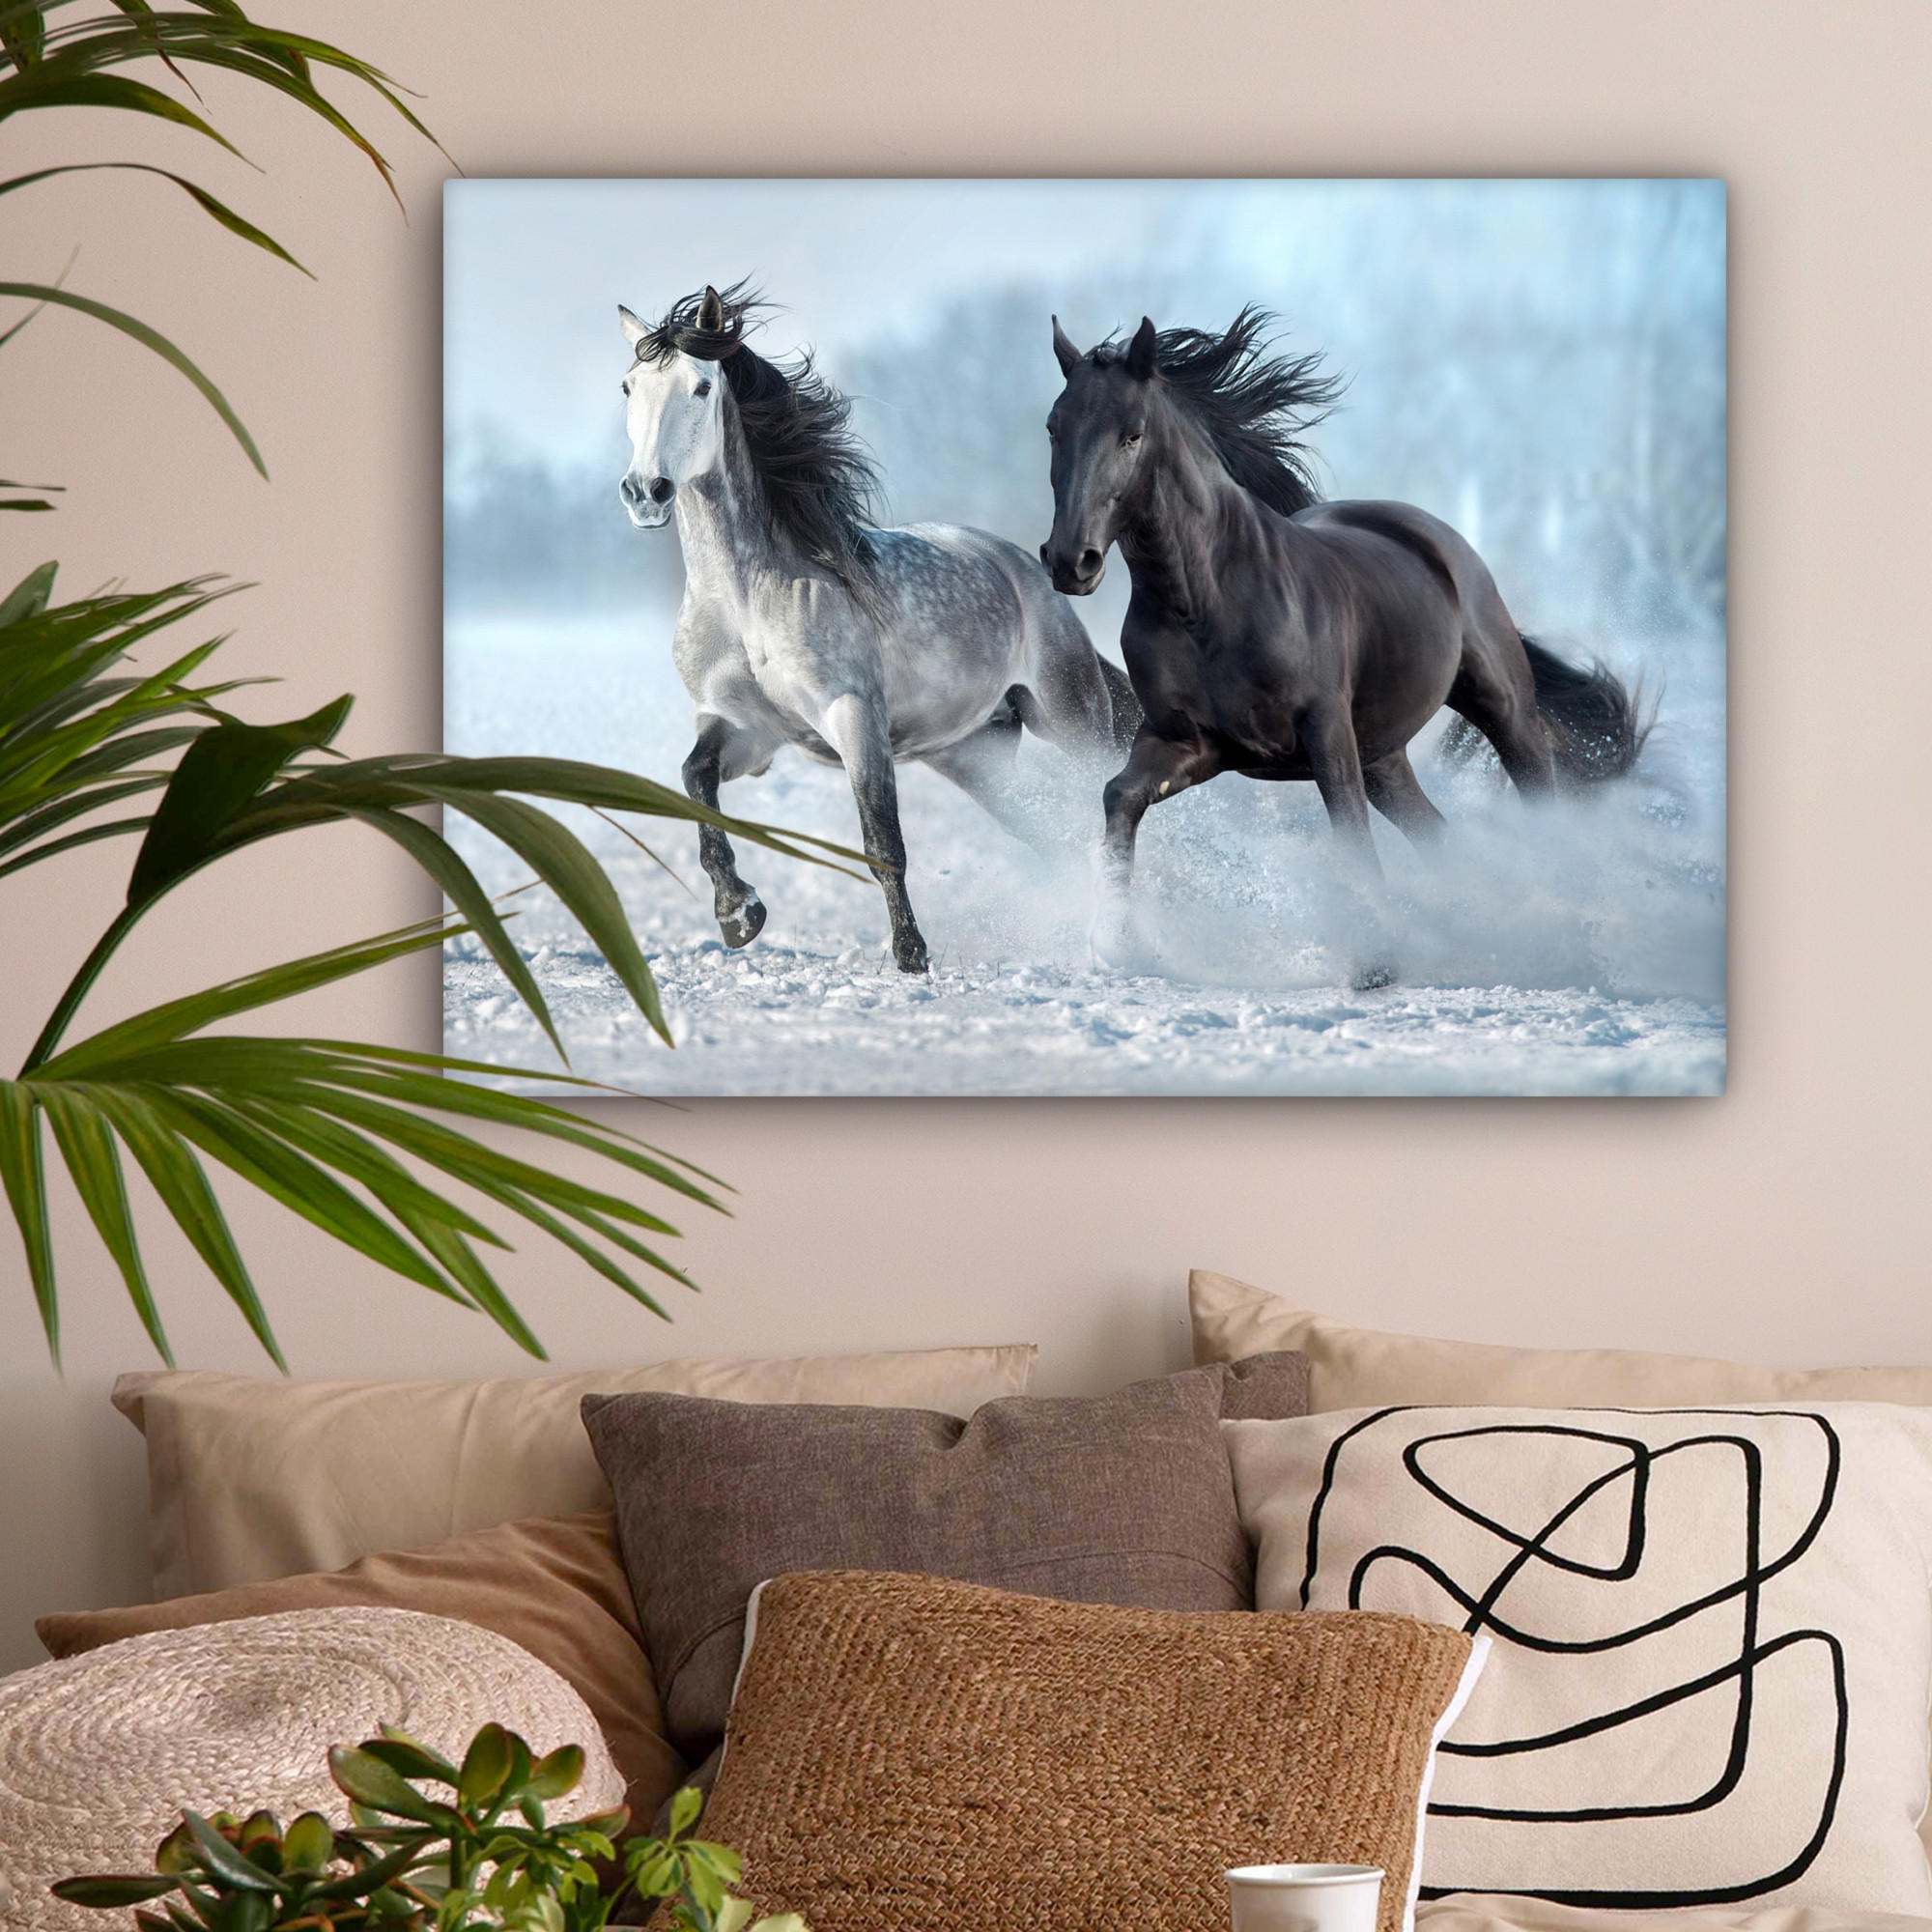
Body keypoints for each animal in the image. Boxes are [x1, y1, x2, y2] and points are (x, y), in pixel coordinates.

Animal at [616, 282, 1138, 974]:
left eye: (700, 386)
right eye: (629, 386)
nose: (645, 492)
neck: (745, 599)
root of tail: (1023, 566)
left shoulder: (854, 716)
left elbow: (882, 841)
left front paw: (911, 955)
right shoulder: (744, 728)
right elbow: (693, 782)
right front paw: (739, 914)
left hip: (1072, 720)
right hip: (974, 757)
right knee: (1052, 833)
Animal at [1039, 307, 1648, 976]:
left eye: (1133, 434)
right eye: (1054, 428)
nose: (1071, 561)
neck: (1208, 603)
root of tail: (1435, 537)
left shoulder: (1325, 732)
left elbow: (1350, 835)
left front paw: (1376, 964)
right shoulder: (1188, 743)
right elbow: (1119, 796)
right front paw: (1118, 943)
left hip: (1502, 708)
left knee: (1539, 794)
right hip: (1384, 756)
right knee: (1438, 835)